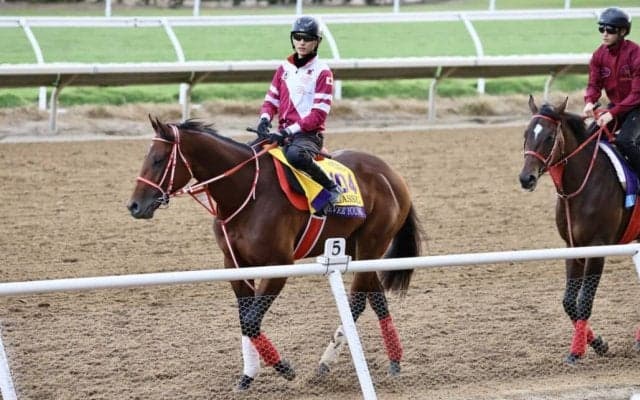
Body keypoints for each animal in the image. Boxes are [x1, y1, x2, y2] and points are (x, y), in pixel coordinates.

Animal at [127, 117, 422, 390]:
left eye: (158, 159)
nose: (135, 206)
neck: (247, 193)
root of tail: (391, 175)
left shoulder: (279, 265)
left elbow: (251, 320)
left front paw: (283, 367)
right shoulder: (235, 264)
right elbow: (245, 320)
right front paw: (248, 376)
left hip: (372, 243)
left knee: (358, 300)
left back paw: (325, 362)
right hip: (359, 249)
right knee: (377, 297)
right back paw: (394, 360)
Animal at [518, 95, 640, 365]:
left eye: (549, 137)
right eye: (526, 133)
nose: (526, 178)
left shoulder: (598, 247)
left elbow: (584, 300)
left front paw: (577, 351)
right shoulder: (572, 247)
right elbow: (568, 302)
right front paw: (598, 343)